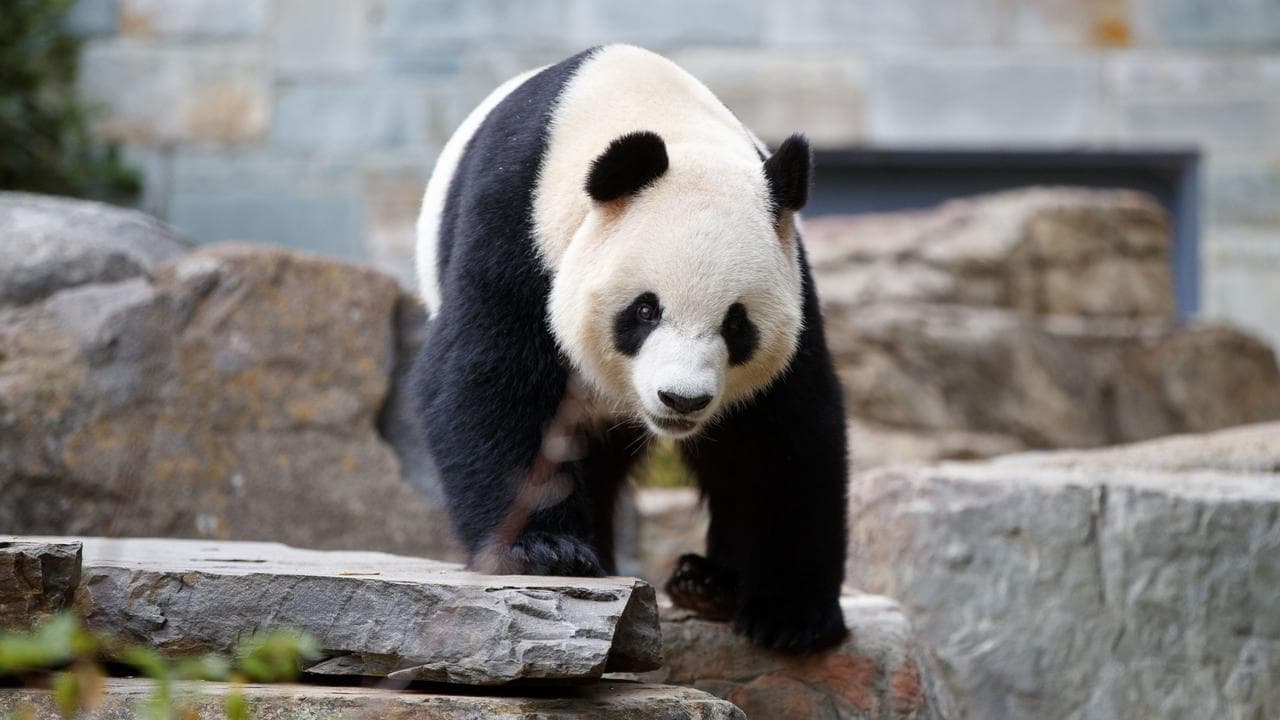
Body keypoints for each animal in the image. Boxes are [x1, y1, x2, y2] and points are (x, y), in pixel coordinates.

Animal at [411, 44, 849, 652]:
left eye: (737, 324)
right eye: (645, 311)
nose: (682, 400)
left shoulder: (793, 277)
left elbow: (781, 434)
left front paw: (791, 615)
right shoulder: (515, 224)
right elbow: (485, 376)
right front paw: (543, 552)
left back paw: (706, 584)